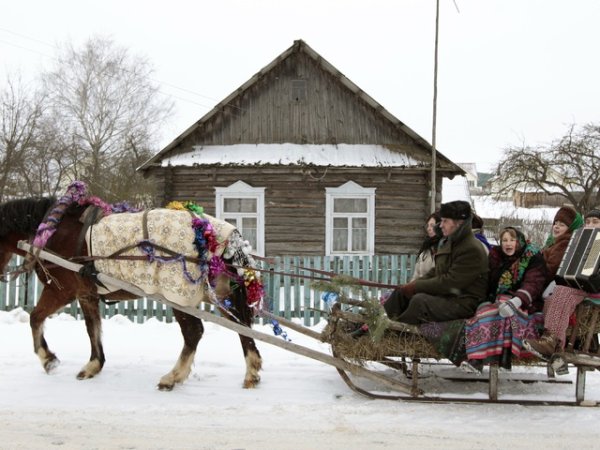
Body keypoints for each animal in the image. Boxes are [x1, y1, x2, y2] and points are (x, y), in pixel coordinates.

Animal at [0, 197, 262, 390]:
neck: (52, 231)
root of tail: (218, 236)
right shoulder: (87, 294)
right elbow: (92, 329)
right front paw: (94, 365)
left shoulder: (60, 291)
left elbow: (35, 317)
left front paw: (48, 360)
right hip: (221, 294)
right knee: (242, 326)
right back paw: (252, 370)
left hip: (179, 296)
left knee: (194, 332)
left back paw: (173, 376)